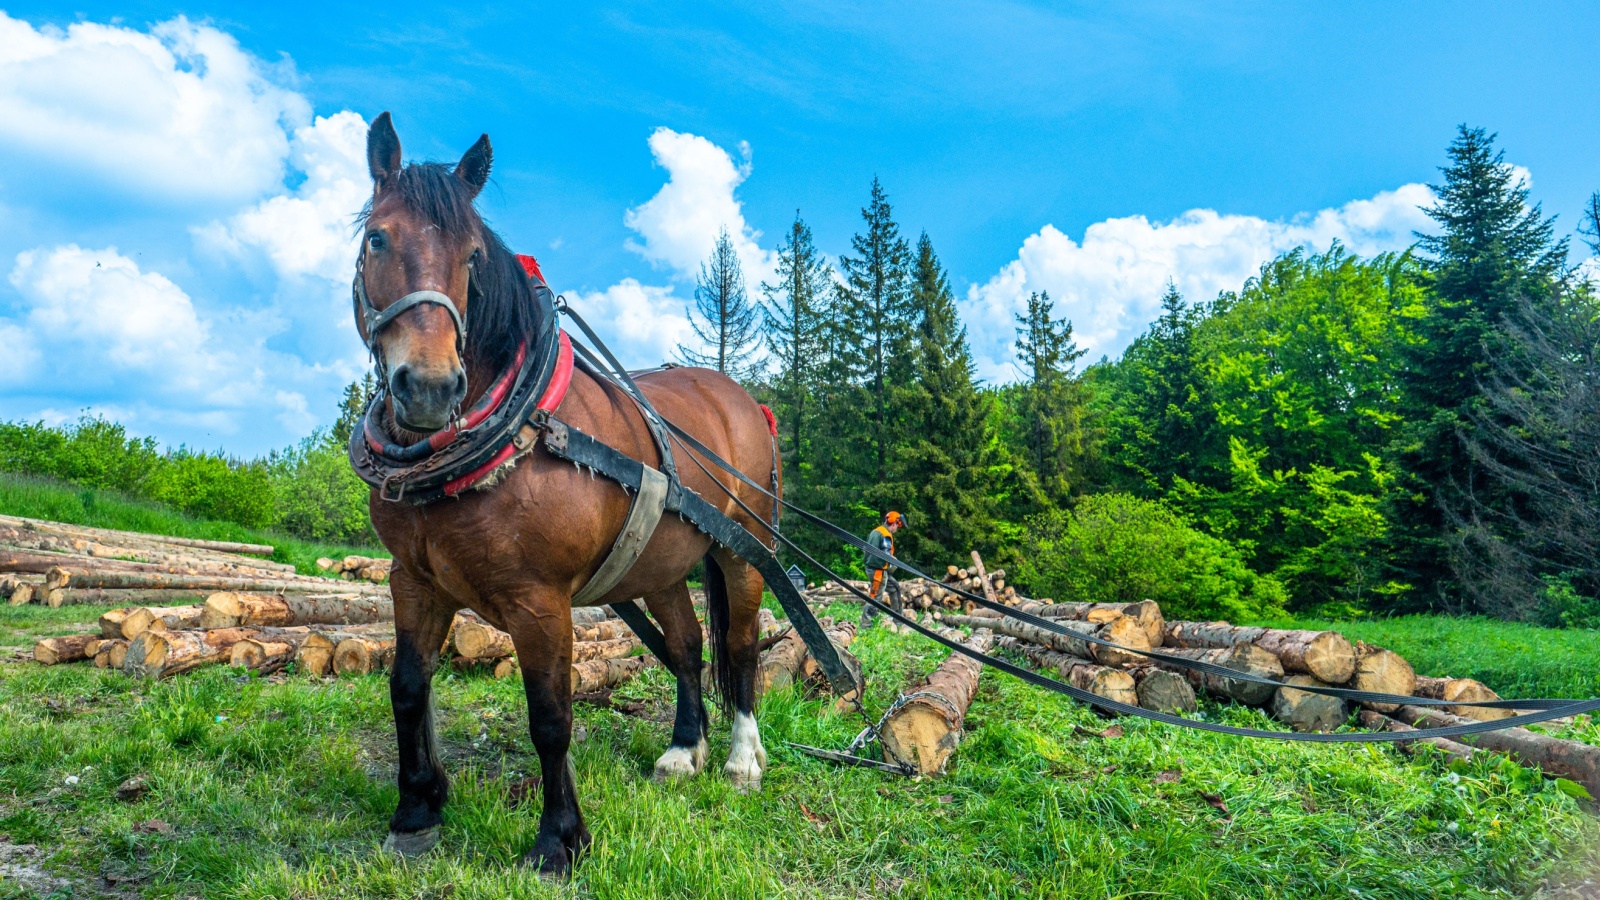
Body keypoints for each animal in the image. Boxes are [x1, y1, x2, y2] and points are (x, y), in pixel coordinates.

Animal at [355, 113, 774, 877]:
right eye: (378, 238)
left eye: (471, 257)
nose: (428, 388)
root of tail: (742, 398)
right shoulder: (414, 580)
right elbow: (407, 687)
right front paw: (417, 806)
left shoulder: (539, 600)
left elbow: (550, 716)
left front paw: (560, 838)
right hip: (661, 562)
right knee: (688, 644)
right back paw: (684, 748)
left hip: (743, 551)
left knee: (741, 644)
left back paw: (741, 759)